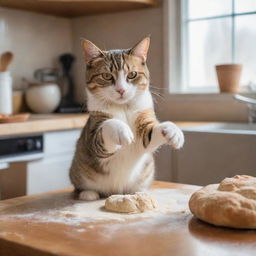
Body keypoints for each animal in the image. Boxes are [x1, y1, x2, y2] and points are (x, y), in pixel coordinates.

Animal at [69, 37, 184, 201]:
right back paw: (88, 194)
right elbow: (106, 128)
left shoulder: (143, 118)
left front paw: (173, 131)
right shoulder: (93, 135)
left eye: (132, 74)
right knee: (80, 186)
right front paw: (121, 131)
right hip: (79, 172)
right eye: (106, 76)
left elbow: (149, 135)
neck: (123, 107)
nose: (121, 90)